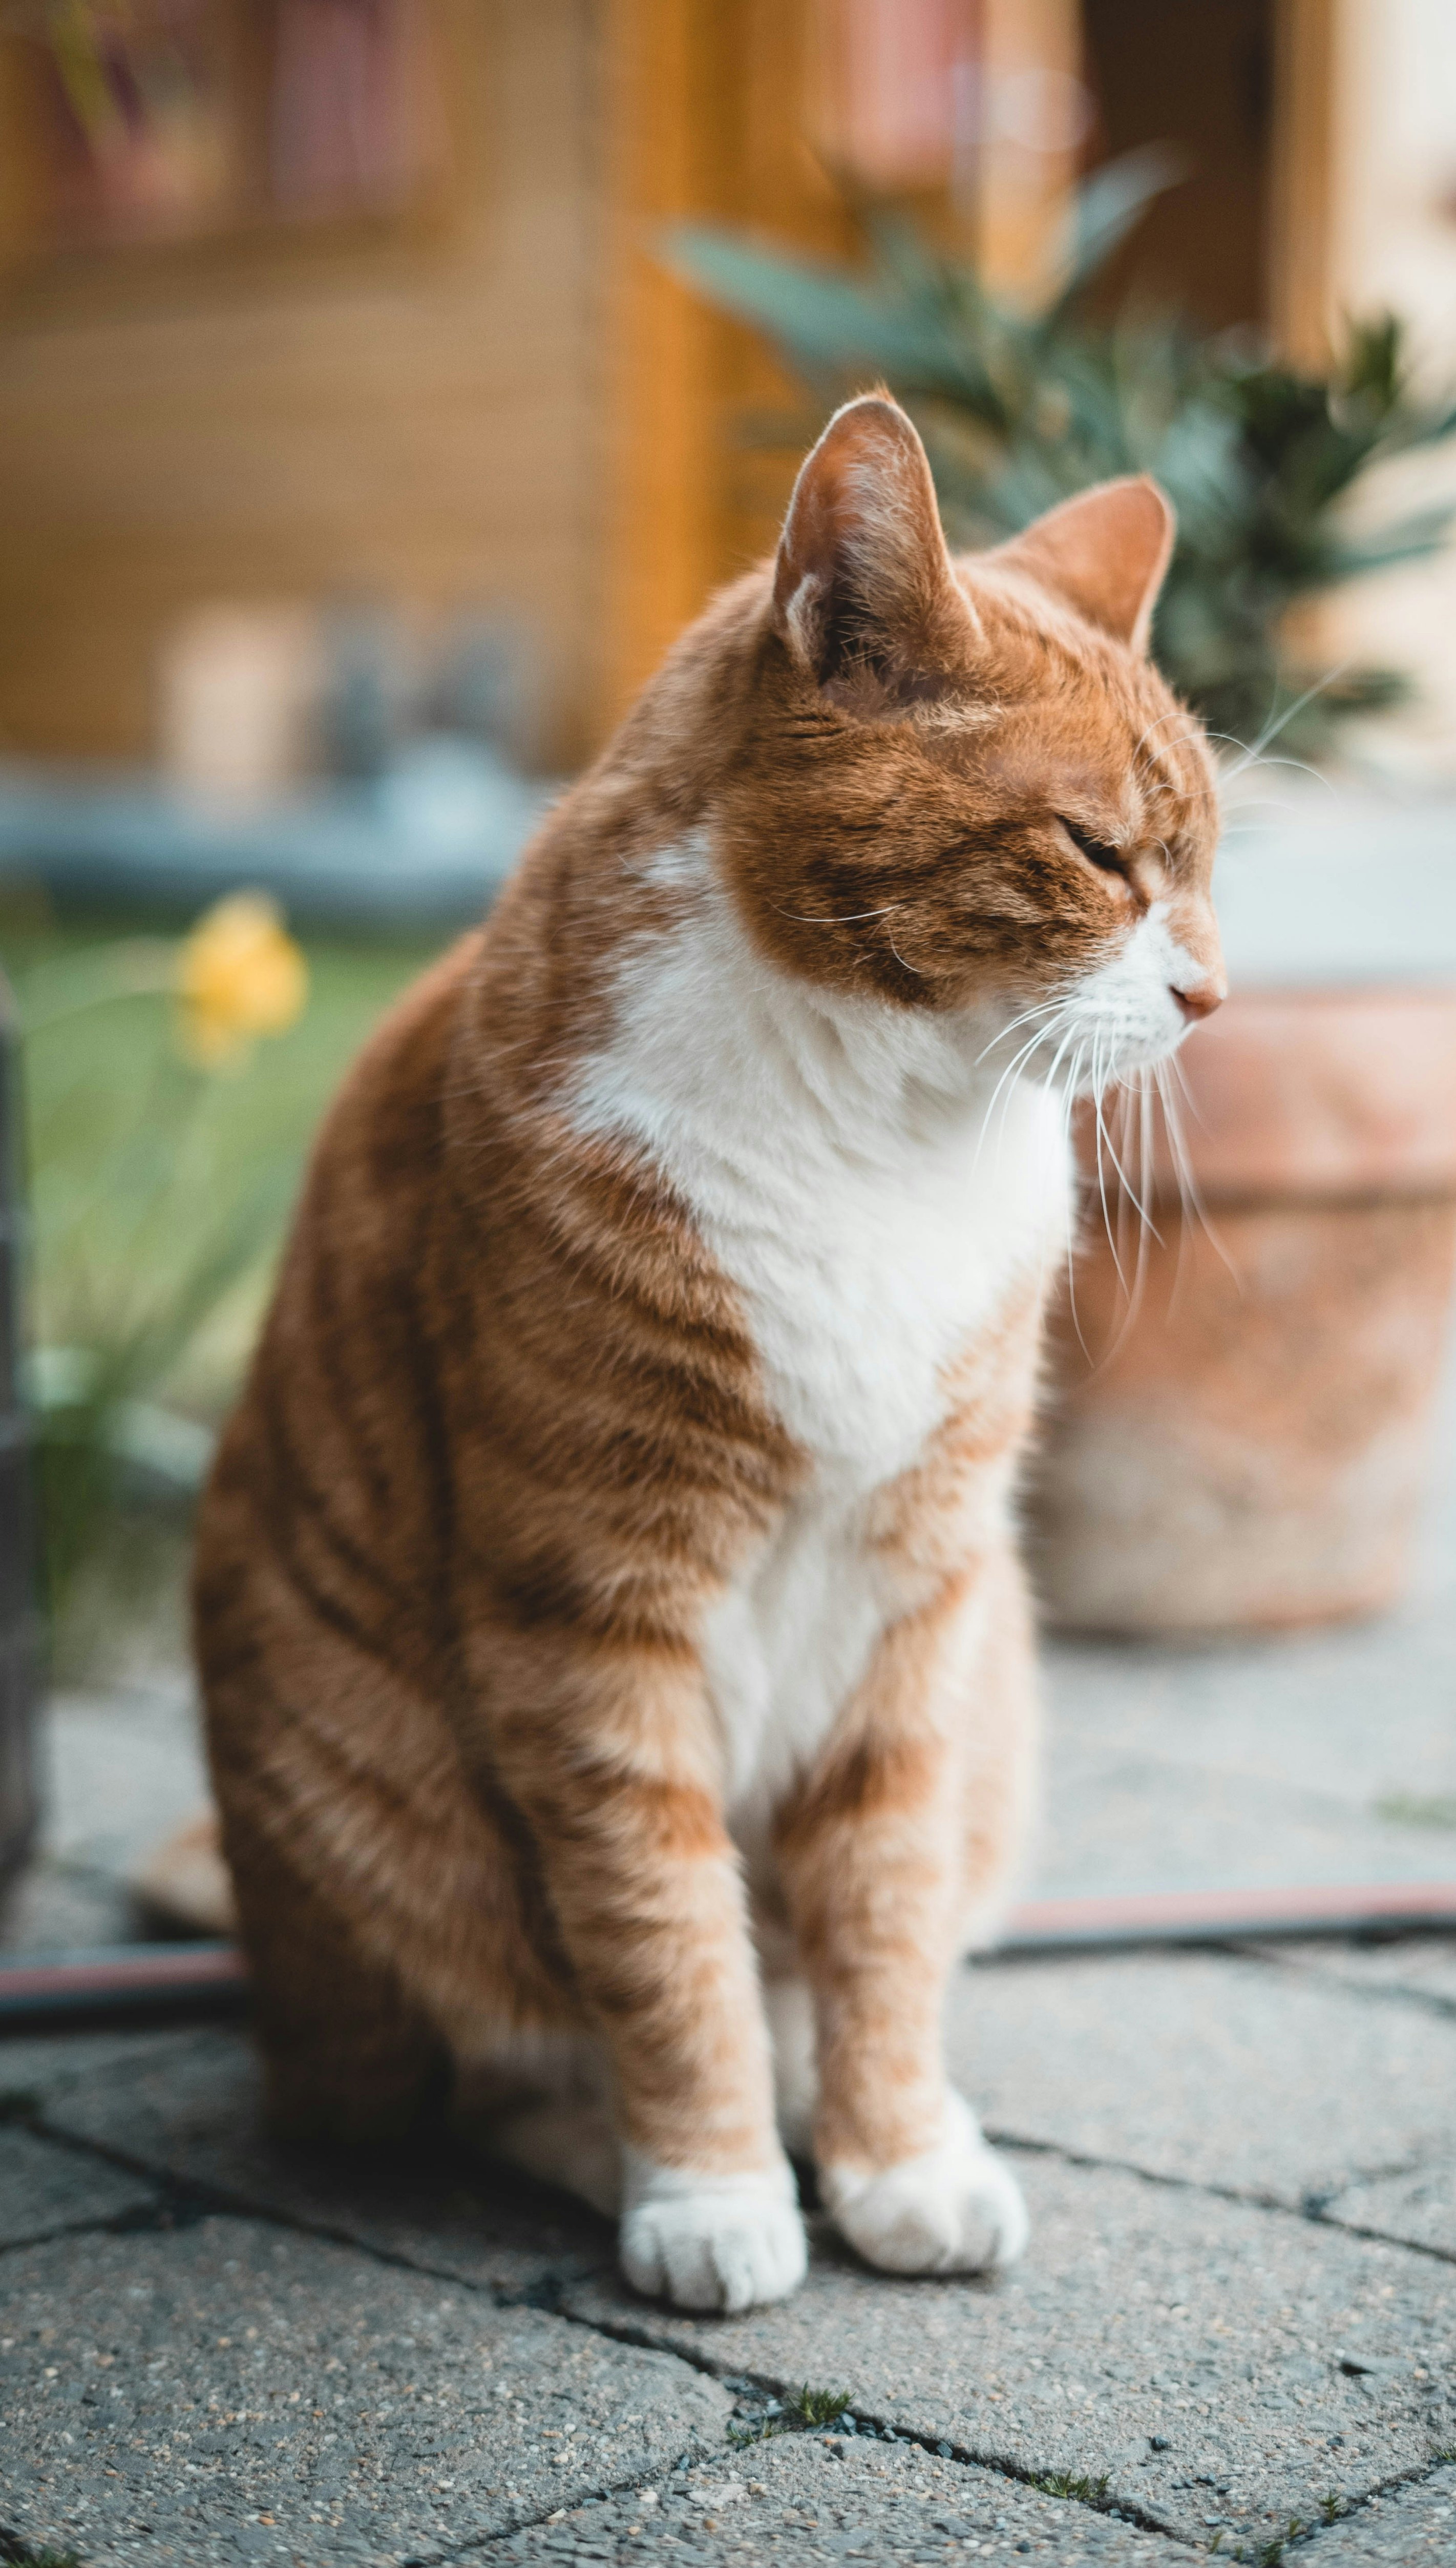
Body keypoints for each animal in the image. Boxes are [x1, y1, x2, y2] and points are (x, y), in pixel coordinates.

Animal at [191, 390, 1217, 2321]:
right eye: (1096, 854)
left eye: (1201, 867)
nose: (1206, 997)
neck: (887, 1133)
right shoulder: (593, 1616)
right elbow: (664, 1940)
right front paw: (713, 2183)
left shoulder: (923, 1602)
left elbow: (879, 1910)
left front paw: (891, 2151)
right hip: (356, 1811)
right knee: (471, 2063)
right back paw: (616, 2147)